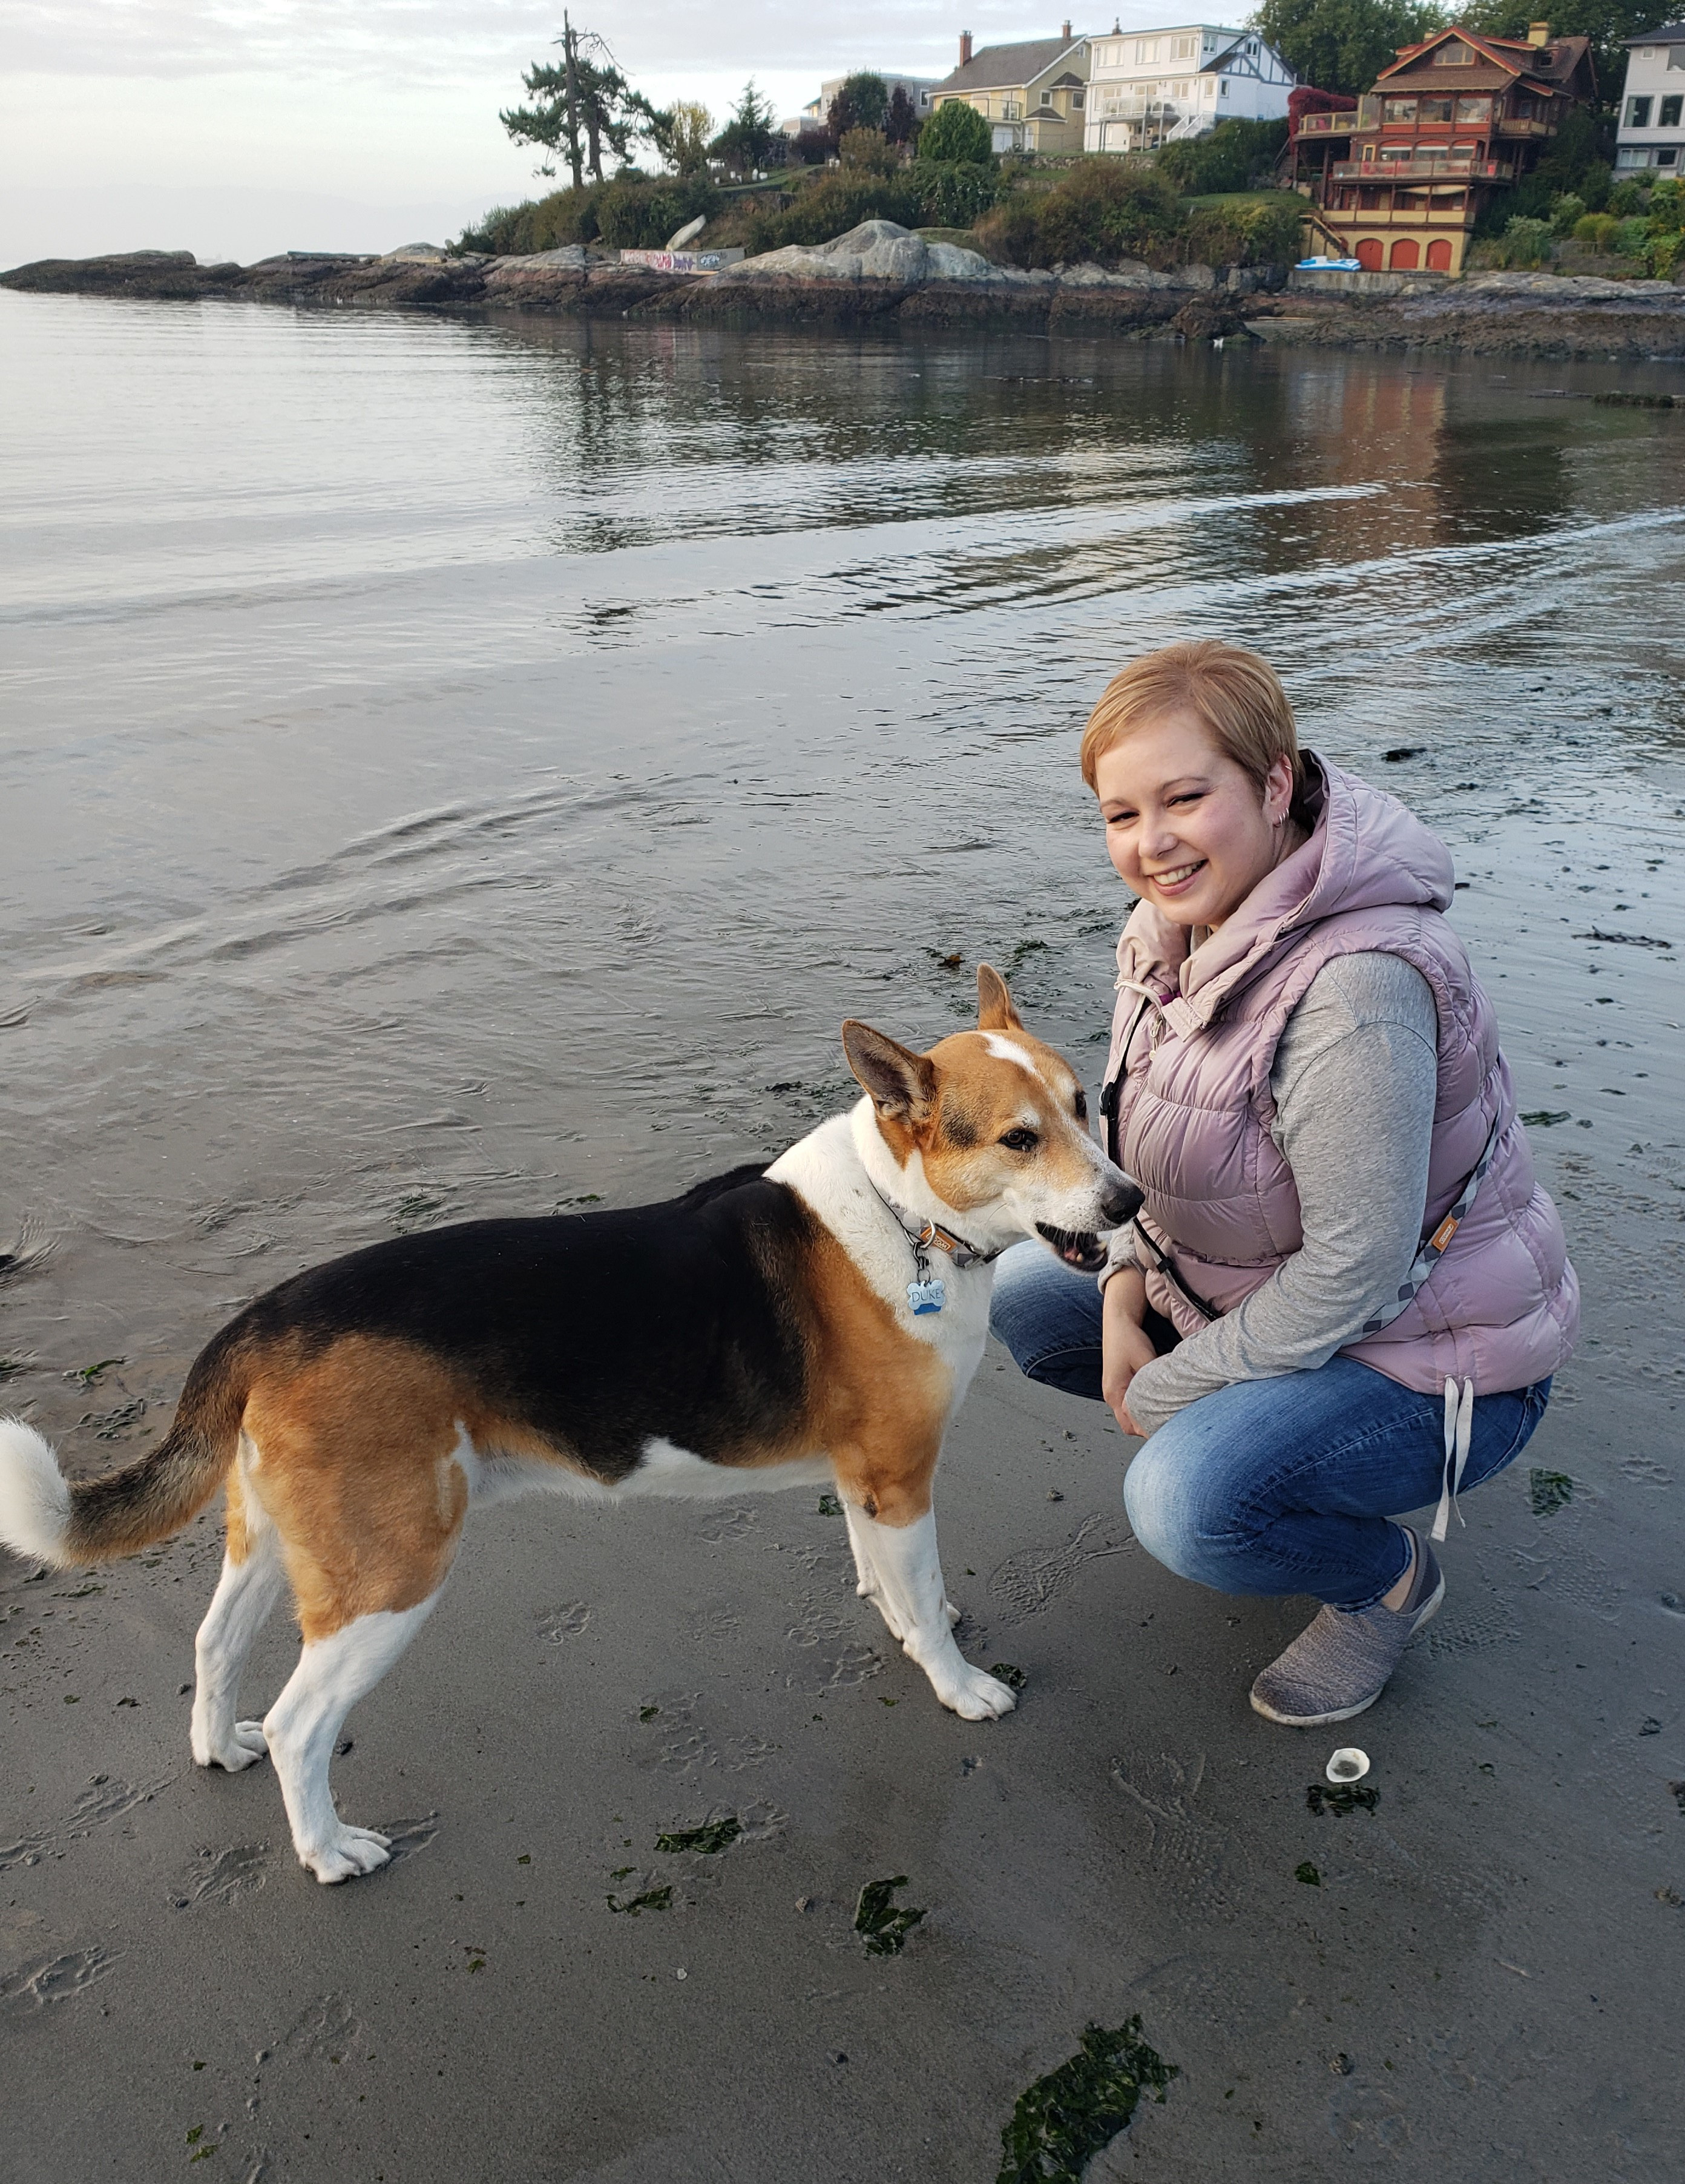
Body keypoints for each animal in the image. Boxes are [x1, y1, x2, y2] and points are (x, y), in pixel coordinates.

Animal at [0, 969, 1135, 1878]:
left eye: (1085, 1104)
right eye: (1019, 1139)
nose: (1128, 1202)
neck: (902, 1215)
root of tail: (265, 1317)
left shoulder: (865, 1480)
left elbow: (887, 1579)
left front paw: (902, 1622)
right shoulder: (899, 1477)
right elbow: (926, 1594)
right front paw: (958, 1684)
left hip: (276, 1535)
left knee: (214, 1640)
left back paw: (217, 1744)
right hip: (391, 1571)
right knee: (300, 1724)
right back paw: (327, 1850)